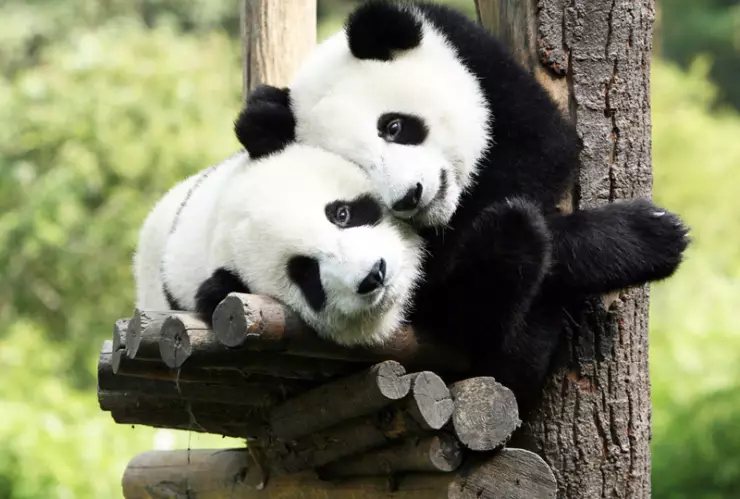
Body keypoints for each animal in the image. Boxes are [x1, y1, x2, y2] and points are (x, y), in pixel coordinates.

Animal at [232, 1, 690, 412]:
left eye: (394, 127)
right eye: (359, 169)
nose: (410, 196)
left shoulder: (479, 62)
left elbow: (544, 149)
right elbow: (440, 277)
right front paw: (648, 237)